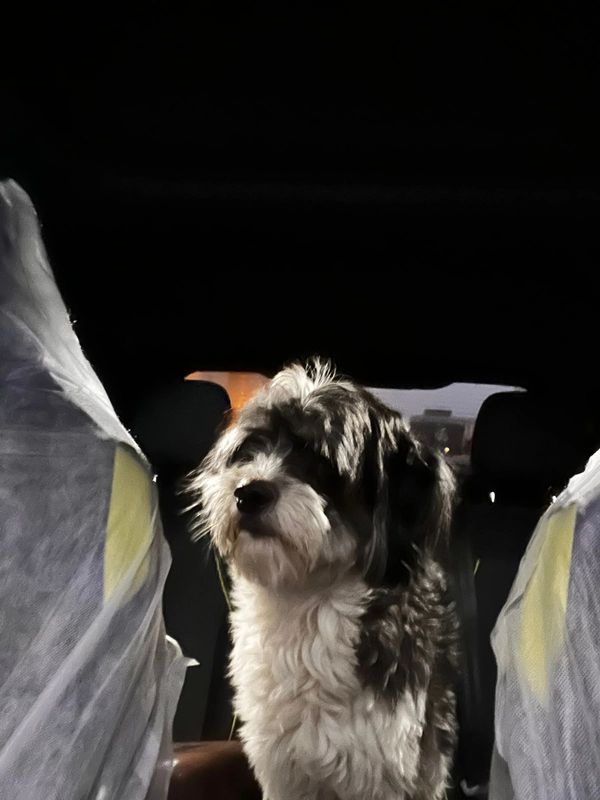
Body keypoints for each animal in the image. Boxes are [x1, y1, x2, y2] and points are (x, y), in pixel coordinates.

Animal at [190, 359, 458, 800]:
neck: (307, 598)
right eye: (249, 450)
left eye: (320, 460)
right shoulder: (283, 767)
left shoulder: (386, 765)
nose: (249, 493)